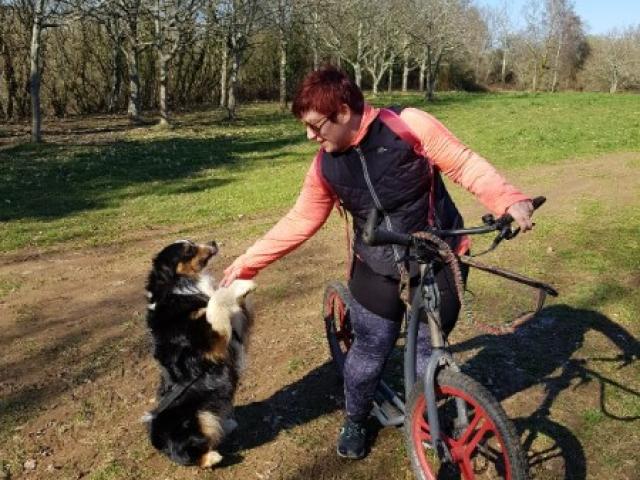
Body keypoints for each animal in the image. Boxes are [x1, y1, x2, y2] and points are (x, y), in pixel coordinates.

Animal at [144, 240, 256, 468]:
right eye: (188, 249)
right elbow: (215, 301)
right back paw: (212, 456)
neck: (179, 289)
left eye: (192, 241)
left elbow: (223, 298)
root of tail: (158, 442)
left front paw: (241, 281)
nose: (213, 242)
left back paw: (227, 424)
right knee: (189, 454)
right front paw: (241, 285)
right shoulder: (211, 340)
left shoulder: (236, 328)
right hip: (191, 419)